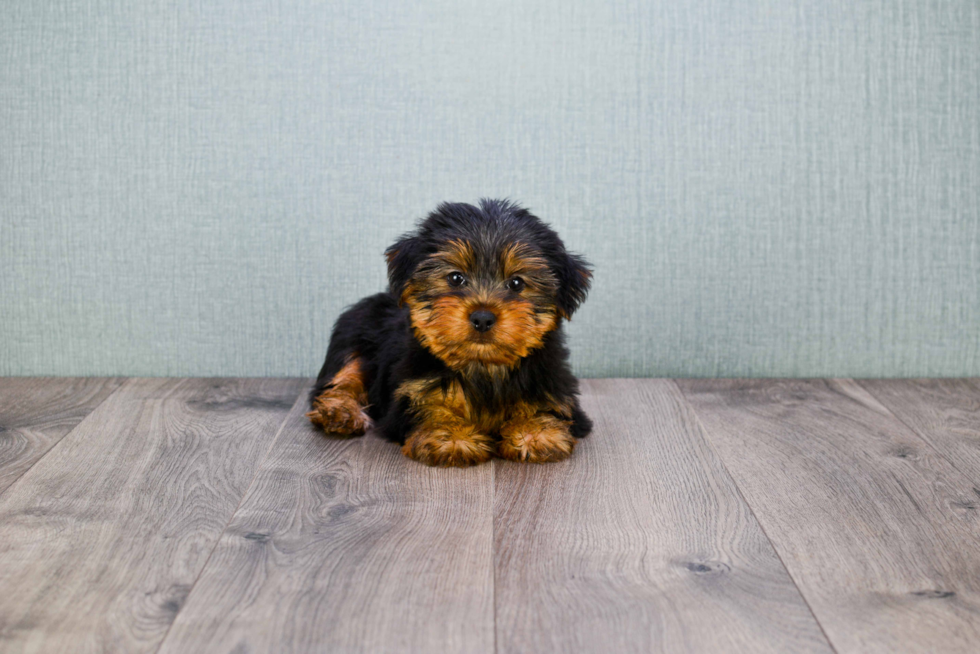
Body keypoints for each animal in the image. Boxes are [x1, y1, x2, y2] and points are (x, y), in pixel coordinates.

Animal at [310, 199, 592, 466]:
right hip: (354, 334)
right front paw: (451, 435)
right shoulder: (411, 392)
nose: (482, 317)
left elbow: (545, 408)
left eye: (516, 283)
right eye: (456, 278)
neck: (483, 367)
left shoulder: (552, 385)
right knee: (344, 377)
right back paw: (339, 412)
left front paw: (535, 432)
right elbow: (429, 407)